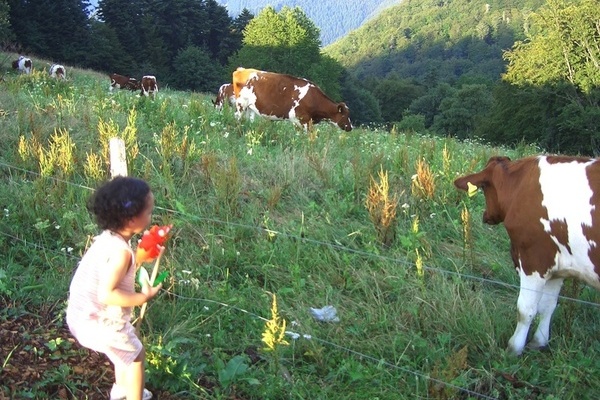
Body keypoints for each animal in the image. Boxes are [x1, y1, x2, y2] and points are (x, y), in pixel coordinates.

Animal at [454, 156, 600, 356]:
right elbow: (548, 306)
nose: (485, 215)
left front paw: (514, 348)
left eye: (484, 188)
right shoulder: (558, 266)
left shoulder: (534, 260)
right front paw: (539, 341)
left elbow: (526, 309)